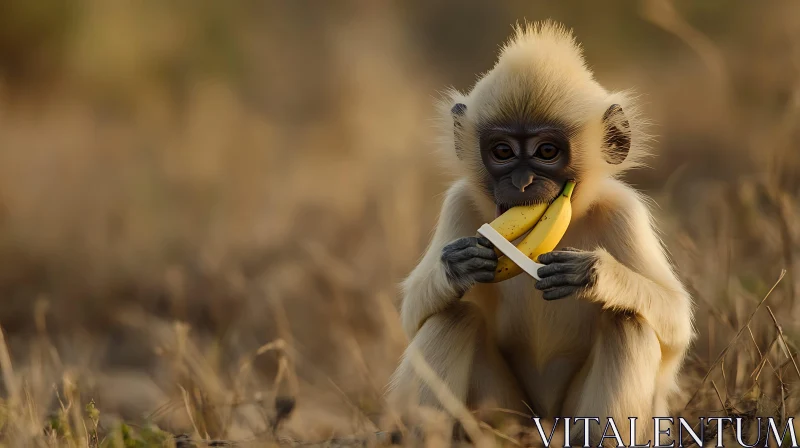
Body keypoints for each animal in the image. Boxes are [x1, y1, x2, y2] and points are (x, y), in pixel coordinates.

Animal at [386, 21, 692, 448]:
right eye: (502, 152)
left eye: (547, 151)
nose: (522, 182)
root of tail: (544, 425)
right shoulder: (459, 203)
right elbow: (413, 315)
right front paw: (459, 265)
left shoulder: (624, 212)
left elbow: (677, 324)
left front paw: (590, 274)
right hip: (505, 417)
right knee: (453, 318)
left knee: (627, 321)